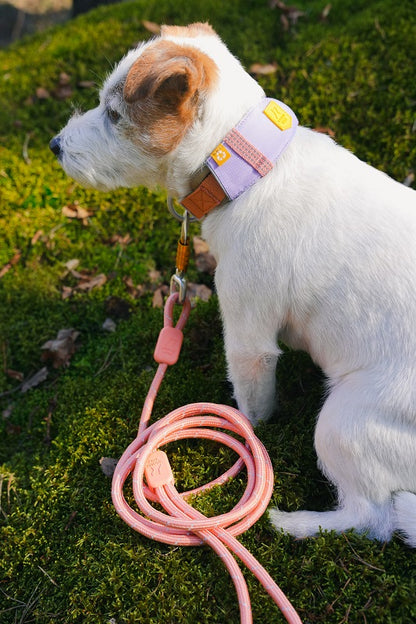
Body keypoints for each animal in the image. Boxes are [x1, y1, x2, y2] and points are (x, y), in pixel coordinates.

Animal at [51, 22, 416, 544]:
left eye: (115, 115)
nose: (55, 146)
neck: (245, 172)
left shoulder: (248, 339)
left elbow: (251, 405)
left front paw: (247, 430)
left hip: (344, 422)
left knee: (373, 517)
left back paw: (296, 523)